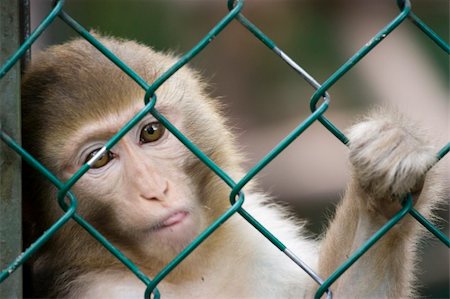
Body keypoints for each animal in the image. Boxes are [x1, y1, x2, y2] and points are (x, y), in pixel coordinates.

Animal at [21, 35, 442, 299]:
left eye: (151, 131)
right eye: (100, 159)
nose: (155, 189)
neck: (187, 270)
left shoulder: (261, 245)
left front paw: (383, 180)